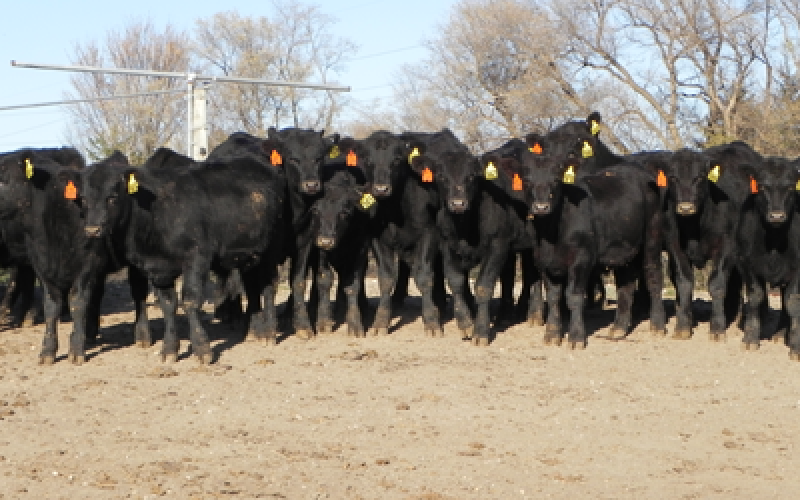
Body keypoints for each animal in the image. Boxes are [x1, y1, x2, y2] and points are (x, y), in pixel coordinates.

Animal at [78, 144, 286, 363]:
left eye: (112, 197)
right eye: (83, 199)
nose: (92, 229)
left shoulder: (196, 258)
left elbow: (190, 300)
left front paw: (202, 349)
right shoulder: (157, 269)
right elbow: (168, 305)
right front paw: (169, 349)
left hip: (272, 248)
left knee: (269, 287)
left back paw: (270, 332)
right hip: (249, 254)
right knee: (253, 287)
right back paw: (255, 331)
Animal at [736, 156, 800, 358]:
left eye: (791, 186)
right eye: (762, 186)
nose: (777, 216)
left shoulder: (798, 268)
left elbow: (793, 301)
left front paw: (796, 345)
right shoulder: (747, 263)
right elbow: (756, 297)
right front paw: (750, 339)